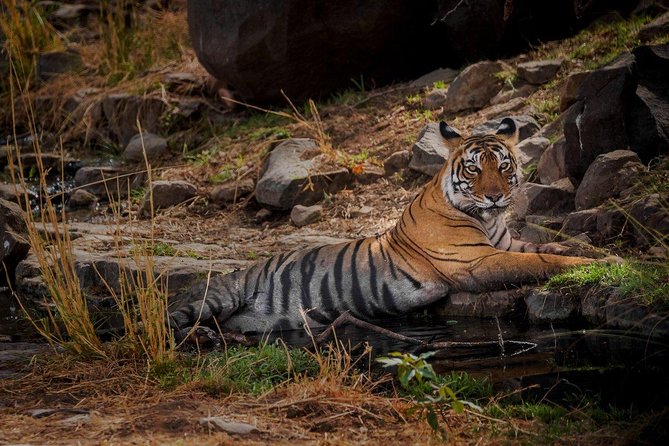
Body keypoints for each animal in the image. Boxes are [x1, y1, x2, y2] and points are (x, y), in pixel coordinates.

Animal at [169, 118, 597, 337]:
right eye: (475, 169)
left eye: (504, 166)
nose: (494, 197)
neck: (488, 219)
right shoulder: (476, 262)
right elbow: (539, 261)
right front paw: (590, 264)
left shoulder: (506, 244)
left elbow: (544, 248)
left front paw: (587, 249)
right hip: (211, 299)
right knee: (167, 320)